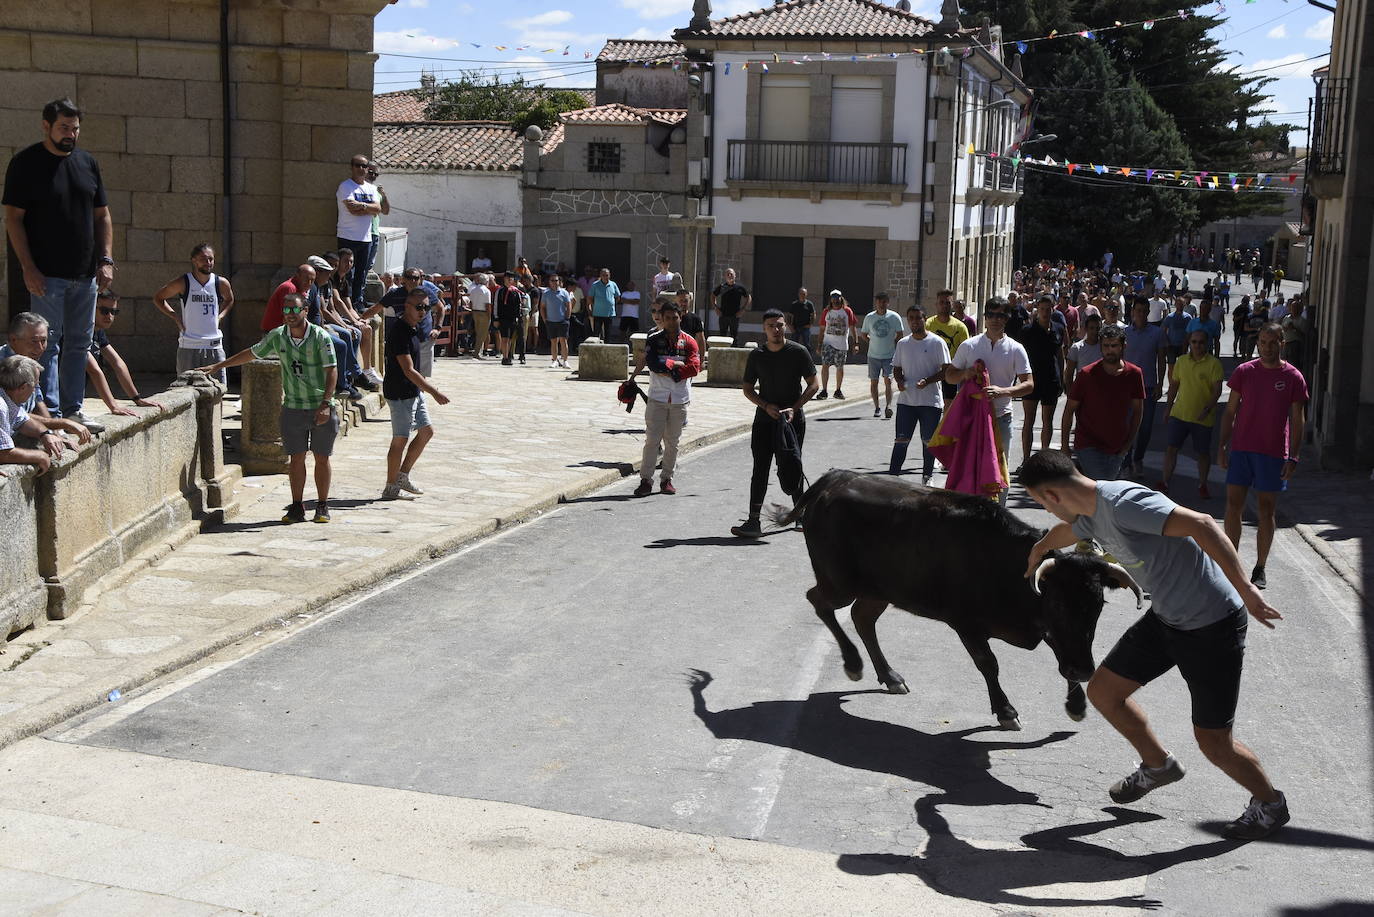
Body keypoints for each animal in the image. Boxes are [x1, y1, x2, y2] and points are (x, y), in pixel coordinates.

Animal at [780, 472, 1143, 731]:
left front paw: (1076, 705)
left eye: (1097, 606)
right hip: (839, 582)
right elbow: (989, 663)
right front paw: (1006, 711)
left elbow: (1064, 650)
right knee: (819, 601)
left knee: (862, 618)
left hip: (879, 590)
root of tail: (836, 478)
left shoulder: (1051, 631)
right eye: (1057, 603)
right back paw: (854, 664)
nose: (1084, 670)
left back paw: (891, 677)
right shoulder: (966, 623)